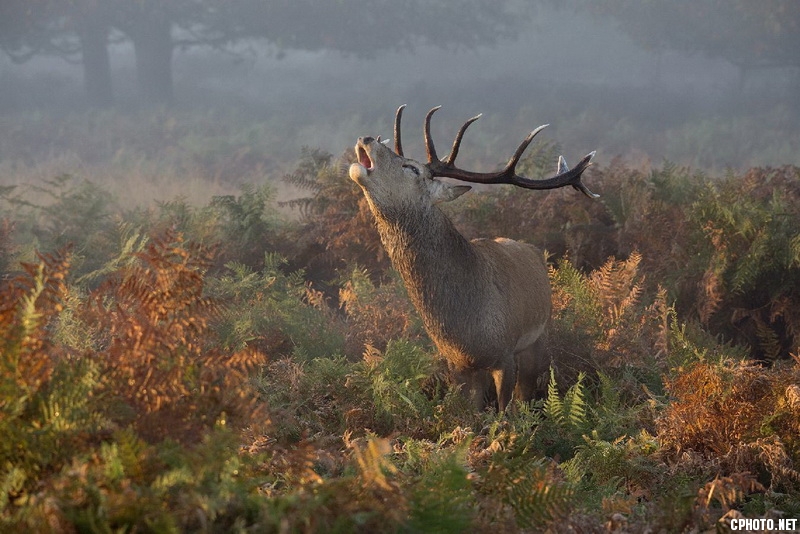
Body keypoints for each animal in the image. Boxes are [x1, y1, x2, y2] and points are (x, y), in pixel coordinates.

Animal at [349, 105, 597, 411]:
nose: (366, 138)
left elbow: (505, 411)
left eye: (411, 167)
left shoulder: (505, 353)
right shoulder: (457, 364)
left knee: (526, 391)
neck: (465, 327)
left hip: (539, 337)